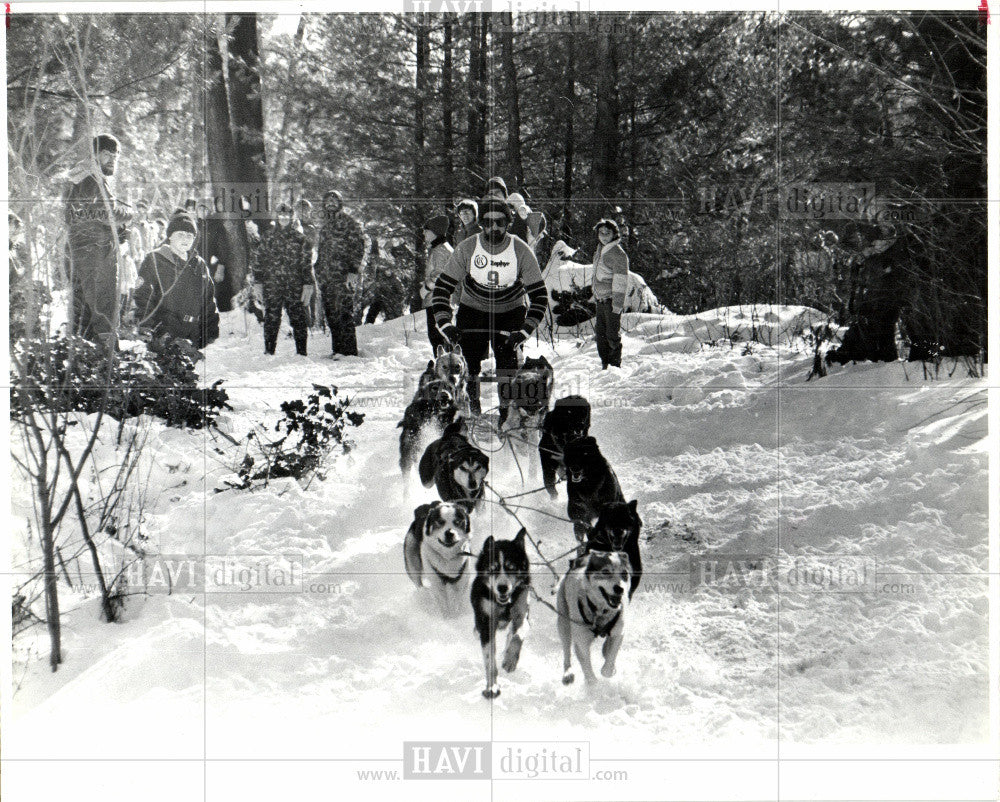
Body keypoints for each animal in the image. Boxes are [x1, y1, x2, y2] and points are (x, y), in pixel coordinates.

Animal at [470, 524, 532, 692]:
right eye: (493, 568)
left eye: (511, 567)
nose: (502, 588)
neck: (504, 604)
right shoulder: (486, 621)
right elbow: (489, 659)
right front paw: (492, 685)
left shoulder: (522, 613)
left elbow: (518, 636)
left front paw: (510, 659)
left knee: (511, 634)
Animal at [556, 552, 632, 688]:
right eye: (605, 572)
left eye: (624, 573)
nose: (620, 589)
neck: (600, 610)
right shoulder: (582, 643)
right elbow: (588, 671)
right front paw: (594, 686)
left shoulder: (618, 633)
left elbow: (609, 663)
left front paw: (609, 668)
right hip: (563, 623)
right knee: (567, 652)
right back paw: (567, 673)